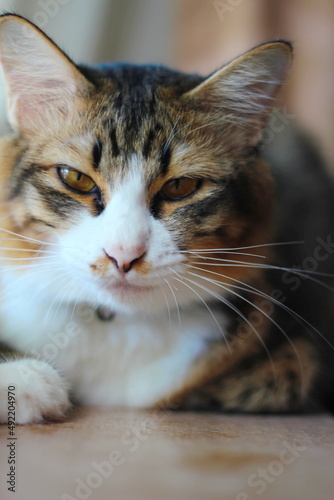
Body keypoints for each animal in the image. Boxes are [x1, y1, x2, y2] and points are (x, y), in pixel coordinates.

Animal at [0, 13, 334, 424]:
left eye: (181, 187)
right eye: (75, 179)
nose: (123, 255)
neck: (115, 322)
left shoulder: (298, 357)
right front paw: (22, 376)